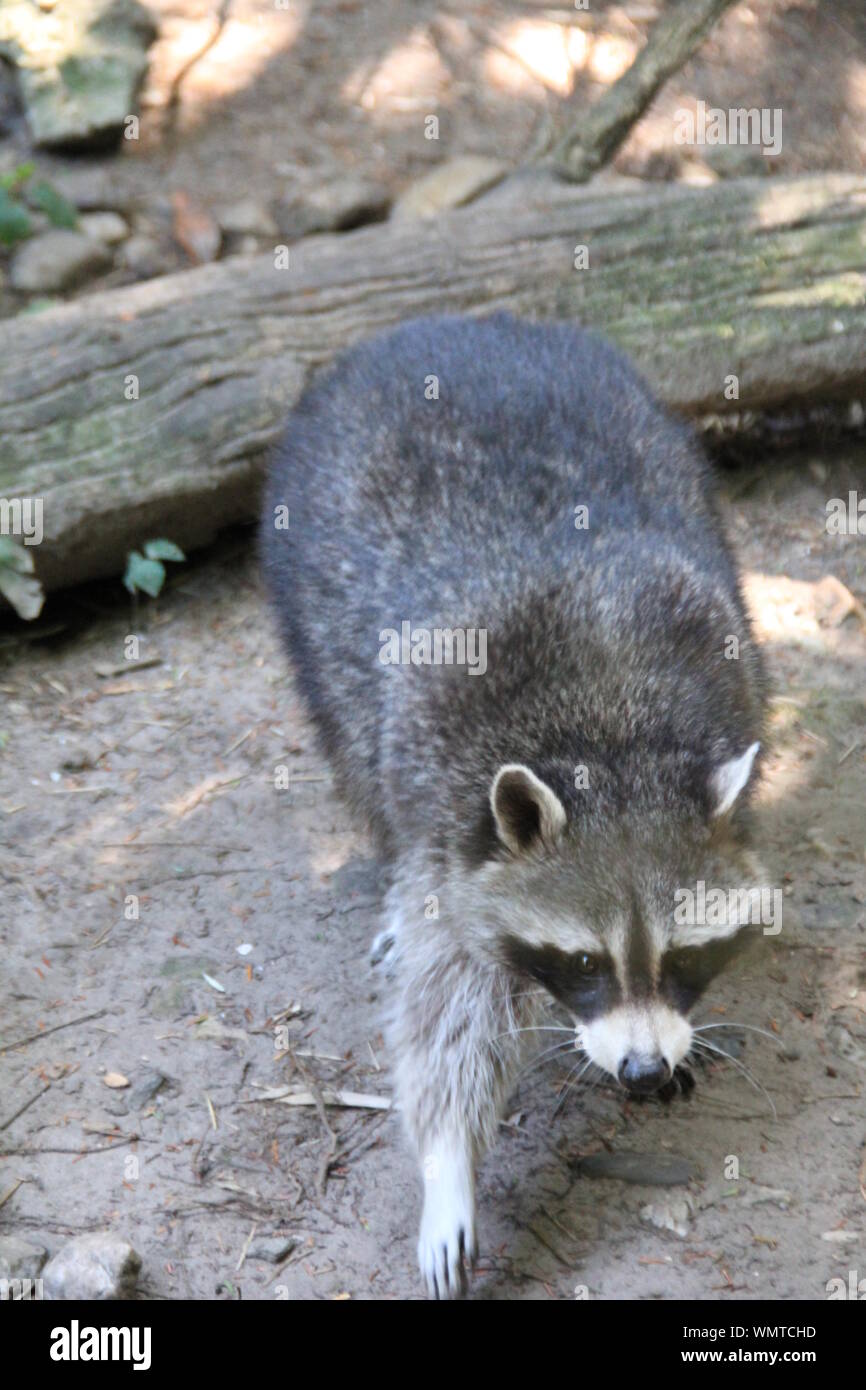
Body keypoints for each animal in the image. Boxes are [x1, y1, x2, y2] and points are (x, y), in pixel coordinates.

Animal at [261, 312, 767, 1289]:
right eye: (584, 963)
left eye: (683, 956)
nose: (641, 1070)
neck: (613, 746)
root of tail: (447, 322)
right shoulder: (449, 799)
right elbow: (447, 1008)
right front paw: (447, 1168)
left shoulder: (731, 677)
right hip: (309, 575)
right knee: (355, 741)